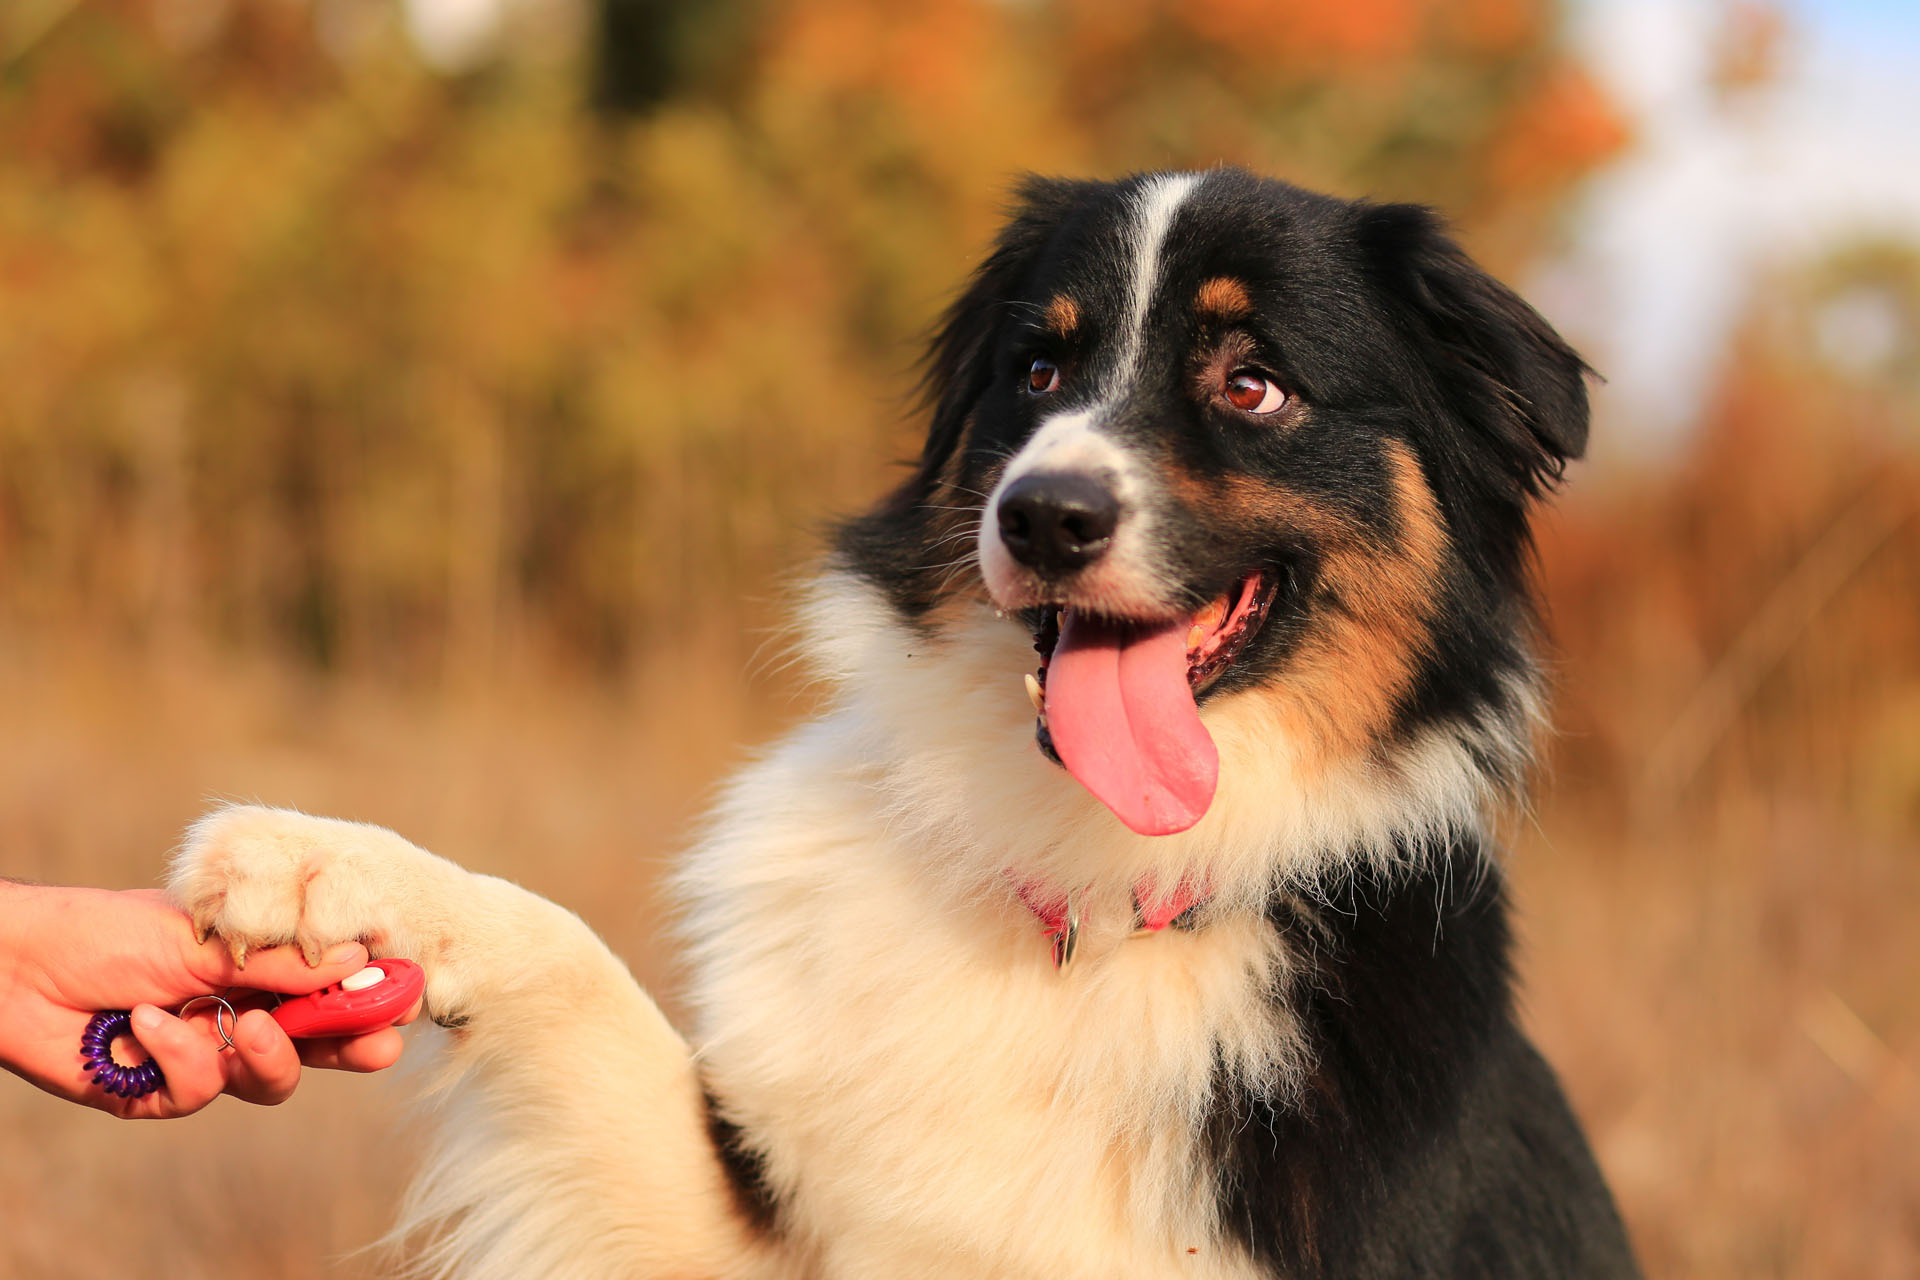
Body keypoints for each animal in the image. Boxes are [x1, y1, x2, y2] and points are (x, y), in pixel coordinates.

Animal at [168, 169, 1635, 1280]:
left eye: (1253, 383)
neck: (1095, 902)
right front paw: (318, 861)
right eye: (1036, 367)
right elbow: (571, 953)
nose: (1042, 517)